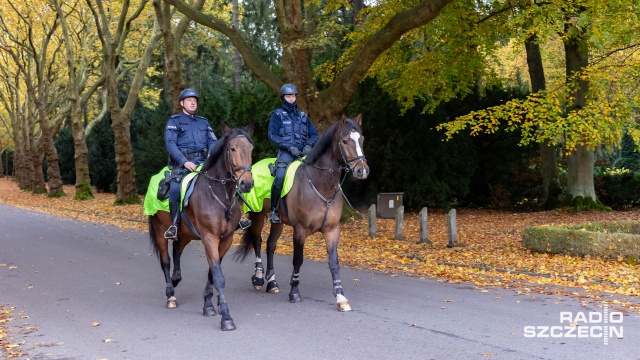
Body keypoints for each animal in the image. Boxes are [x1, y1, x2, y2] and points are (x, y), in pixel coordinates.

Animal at [148, 122, 252, 330]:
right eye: (232, 148)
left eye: (251, 149)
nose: (247, 183)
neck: (220, 195)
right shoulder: (210, 238)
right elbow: (218, 276)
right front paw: (226, 317)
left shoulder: (226, 239)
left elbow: (212, 272)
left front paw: (208, 305)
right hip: (159, 231)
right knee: (165, 261)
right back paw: (170, 294)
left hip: (186, 233)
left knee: (177, 250)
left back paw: (176, 278)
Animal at [235, 115, 368, 312]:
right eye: (345, 141)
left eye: (362, 139)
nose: (362, 170)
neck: (320, 184)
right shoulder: (300, 230)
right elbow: (298, 260)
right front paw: (294, 292)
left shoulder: (332, 230)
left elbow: (334, 263)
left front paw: (341, 298)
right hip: (257, 215)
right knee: (257, 241)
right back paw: (259, 278)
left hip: (278, 222)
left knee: (270, 245)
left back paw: (272, 283)